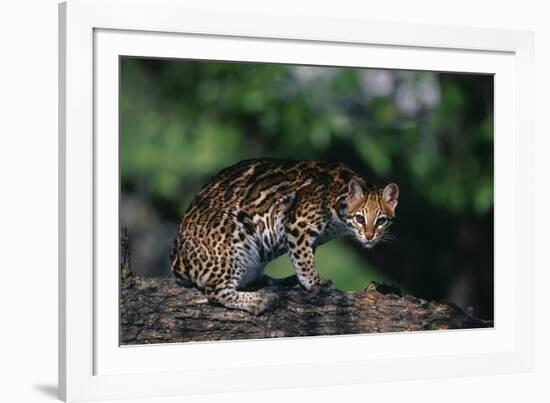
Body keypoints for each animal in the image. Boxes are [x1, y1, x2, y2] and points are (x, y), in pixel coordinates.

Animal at [170, 159, 398, 318]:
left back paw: (275, 282)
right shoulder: (297, 225)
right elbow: (303, 260)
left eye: (381, 221)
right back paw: (257, 300)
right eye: (360, 218)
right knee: (215, 292)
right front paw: (314, 282)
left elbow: (304, 257)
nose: (369, 235)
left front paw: (304, 280)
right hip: (234, 237)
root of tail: (177, 261)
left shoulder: (311, 239)